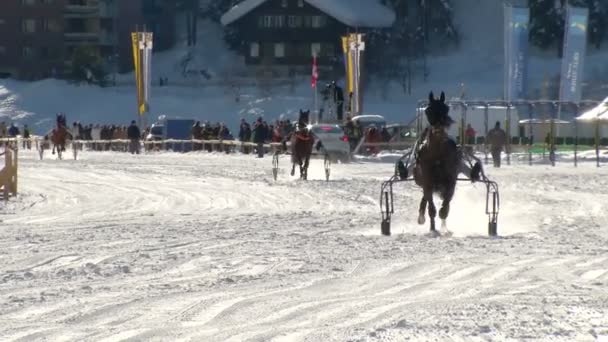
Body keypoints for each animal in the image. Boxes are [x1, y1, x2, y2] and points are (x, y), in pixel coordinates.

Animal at [416, 92, 464, 234]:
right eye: (428, 110)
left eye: (446, 108)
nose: (438, 127)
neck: (437, 153)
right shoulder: (427, 180)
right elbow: (431, 208)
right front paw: (432, 227)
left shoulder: (451, 180)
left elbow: (447, 202)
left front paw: (443, 214)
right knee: (426, 198)